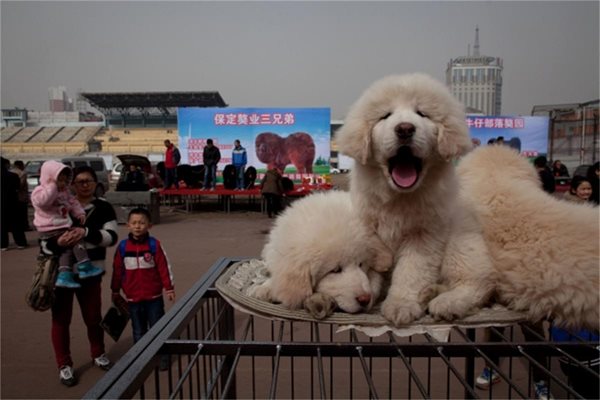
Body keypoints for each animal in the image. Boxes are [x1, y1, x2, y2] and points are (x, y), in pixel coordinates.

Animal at [336, 73, 494, 326]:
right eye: (385, 115)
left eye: (422, 114)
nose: (405, 129)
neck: (399, 197)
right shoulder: (368, 229)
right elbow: (372, 266)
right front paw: (369, 291)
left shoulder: (424, 236)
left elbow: (411, 272)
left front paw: (401, 305)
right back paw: (432, 293)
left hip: (461, 244)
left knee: (477, 282)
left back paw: (447, 302)